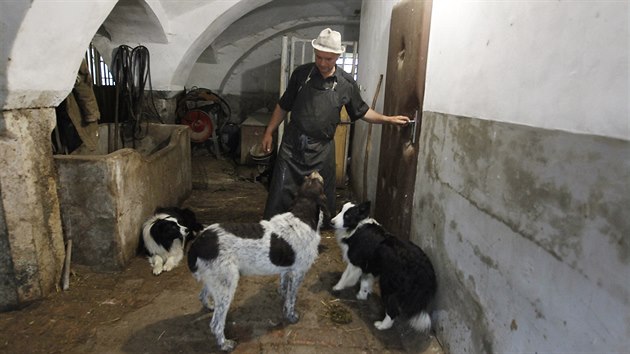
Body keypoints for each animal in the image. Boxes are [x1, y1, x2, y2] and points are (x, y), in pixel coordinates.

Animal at [186, 171, 328, 352]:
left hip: (216, 279)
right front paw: (291, 316)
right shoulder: (298, 273)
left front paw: (282, 296)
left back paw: (210, 306)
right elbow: (291, 299)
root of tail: (198, 241)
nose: (314, 171)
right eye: (316, 181)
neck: (302, 213)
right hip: (228, 284)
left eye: (307, 179)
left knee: (203, 296)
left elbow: (284, 288)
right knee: (216, 324)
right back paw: (225, 344)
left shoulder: (286, 270)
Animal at [330, 202, 440, 332]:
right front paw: (361, 295)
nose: (331, 222)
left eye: (347, 216)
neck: (356, 227)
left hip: (388, 284)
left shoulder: (355, 262)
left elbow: (345, 276)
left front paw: (337, 287)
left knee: (393, 311)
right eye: (340, 211)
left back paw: (382, 326)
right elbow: (365, 282)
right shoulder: (369, 266)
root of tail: (424, 269)